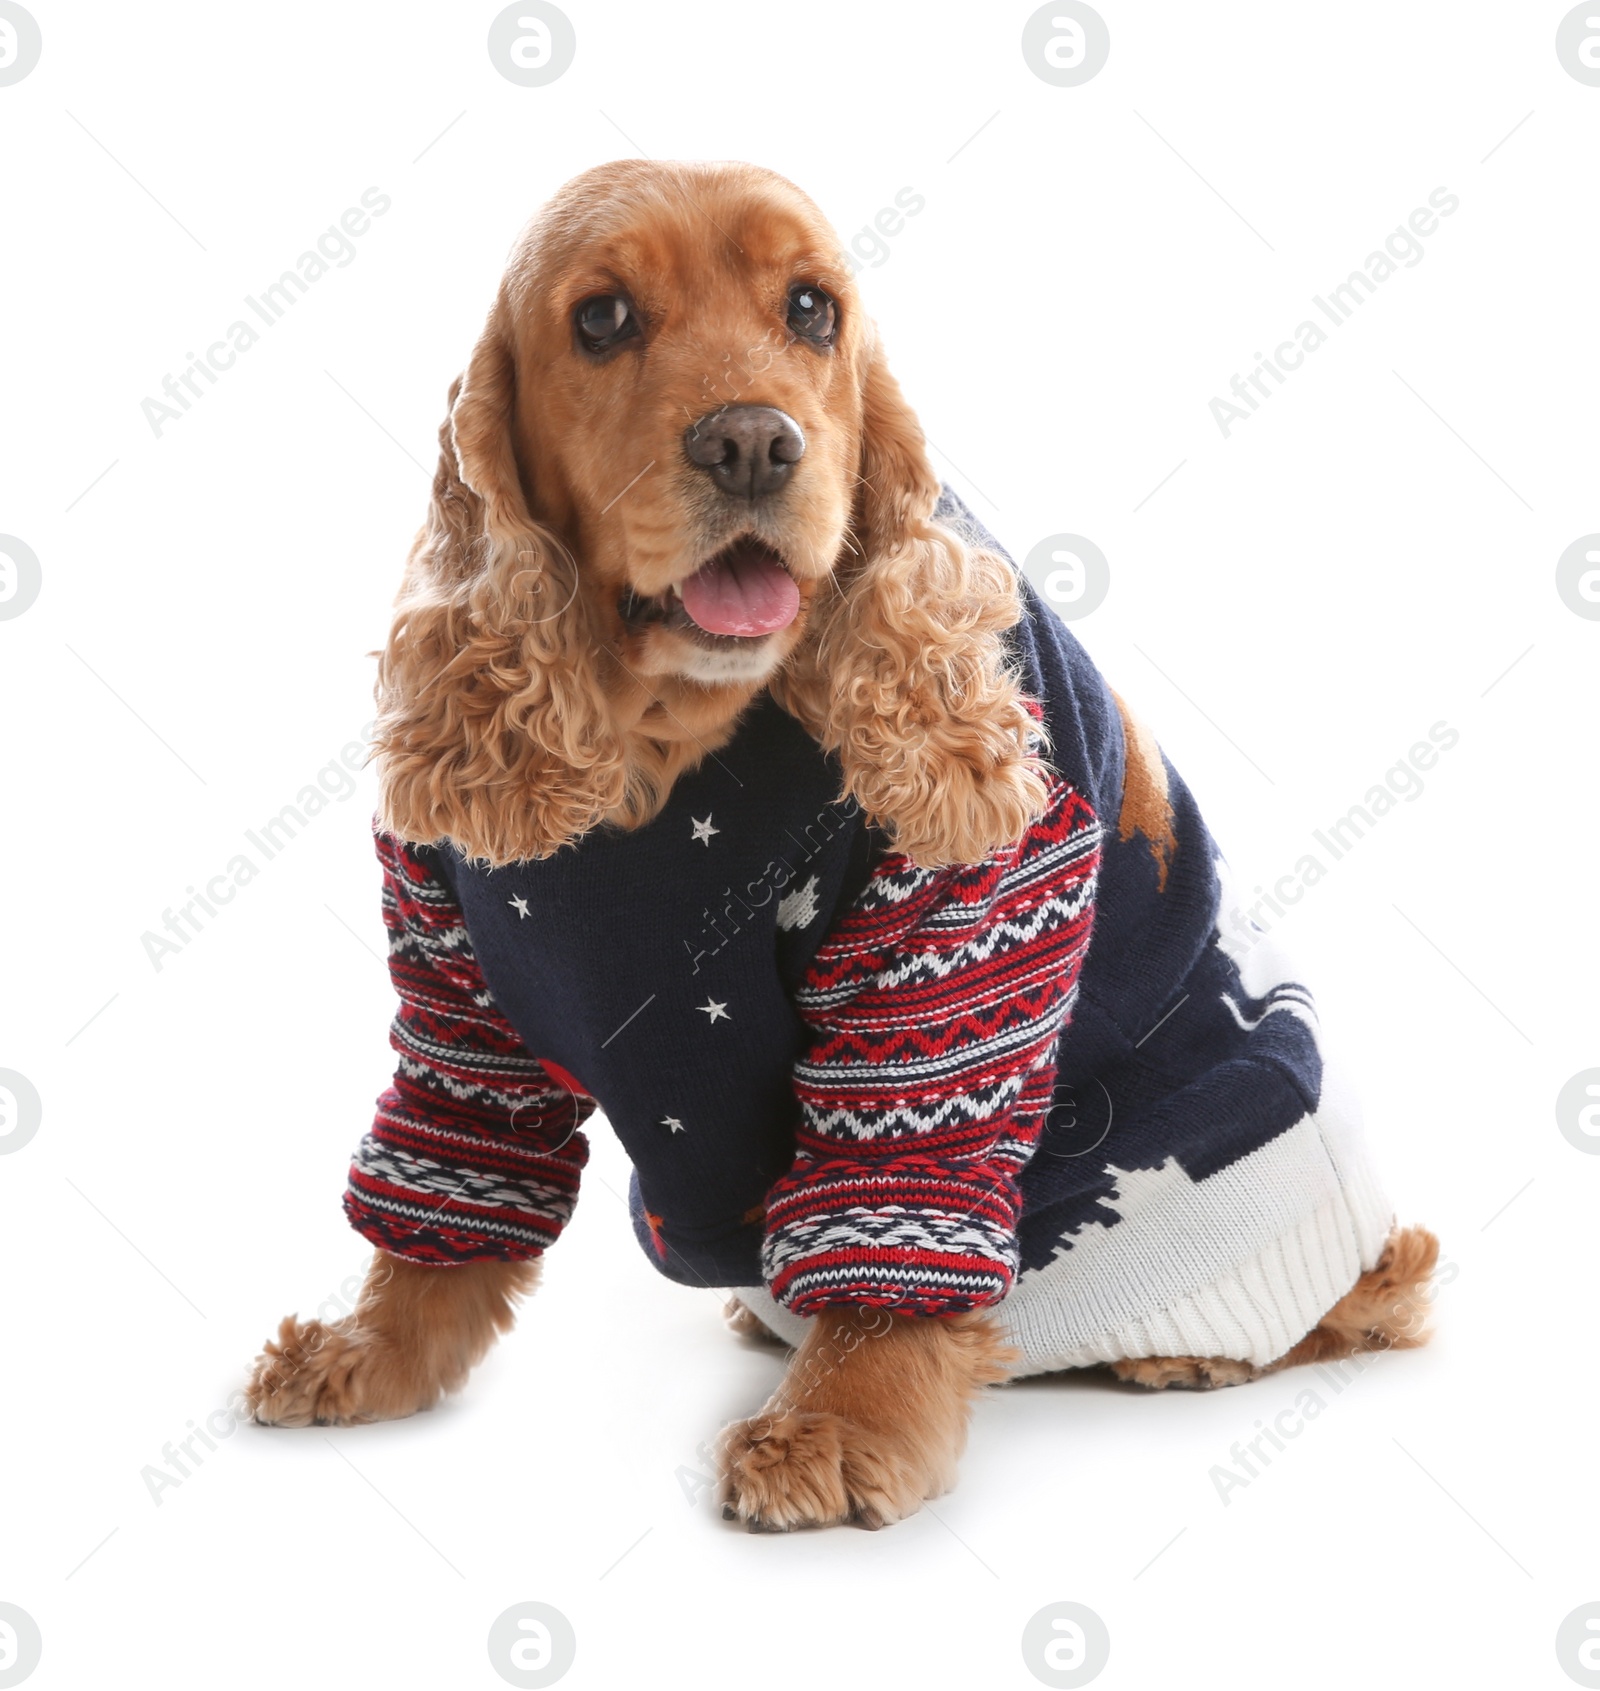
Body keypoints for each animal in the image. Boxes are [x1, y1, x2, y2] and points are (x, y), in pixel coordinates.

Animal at [243, 158, 1441, 1535]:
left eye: (811, 308)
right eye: (600, 319)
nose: (754, 441)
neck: (663, 728)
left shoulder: (957, 942)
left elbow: (895, 1208)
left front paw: (835, 1426)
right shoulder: (456, 975)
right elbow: (449, 1171)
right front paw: (369, 1353)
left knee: (1356, 1305)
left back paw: (1185, 1347)